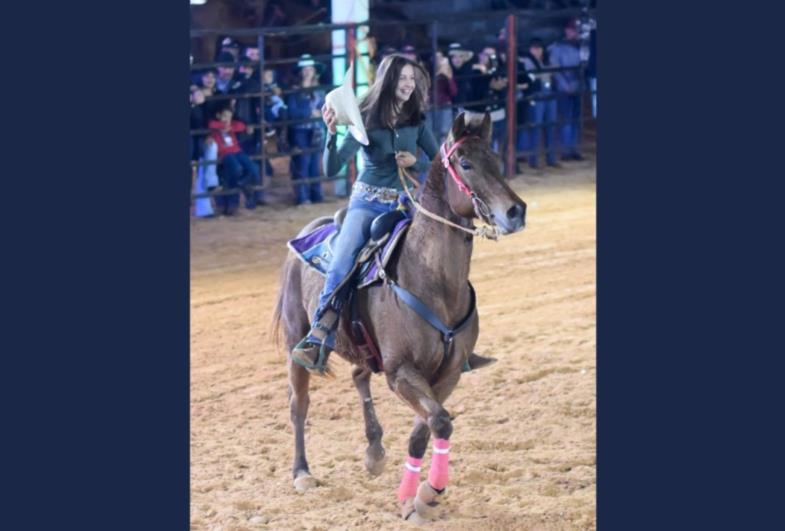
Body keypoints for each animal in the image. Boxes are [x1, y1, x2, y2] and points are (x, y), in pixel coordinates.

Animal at [272, 112, 524, 524]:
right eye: (466, 163)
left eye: (495, 159)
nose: (516, 211)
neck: (432, 280)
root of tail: (309, 230)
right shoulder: (402, 372)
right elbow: (439, 421)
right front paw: (423, 494)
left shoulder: (446, 374)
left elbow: (428, 428)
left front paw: (418, 496)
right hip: (298, 338)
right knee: (298, 405)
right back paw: (302, 473)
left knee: (359, 376)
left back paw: (374, 453)